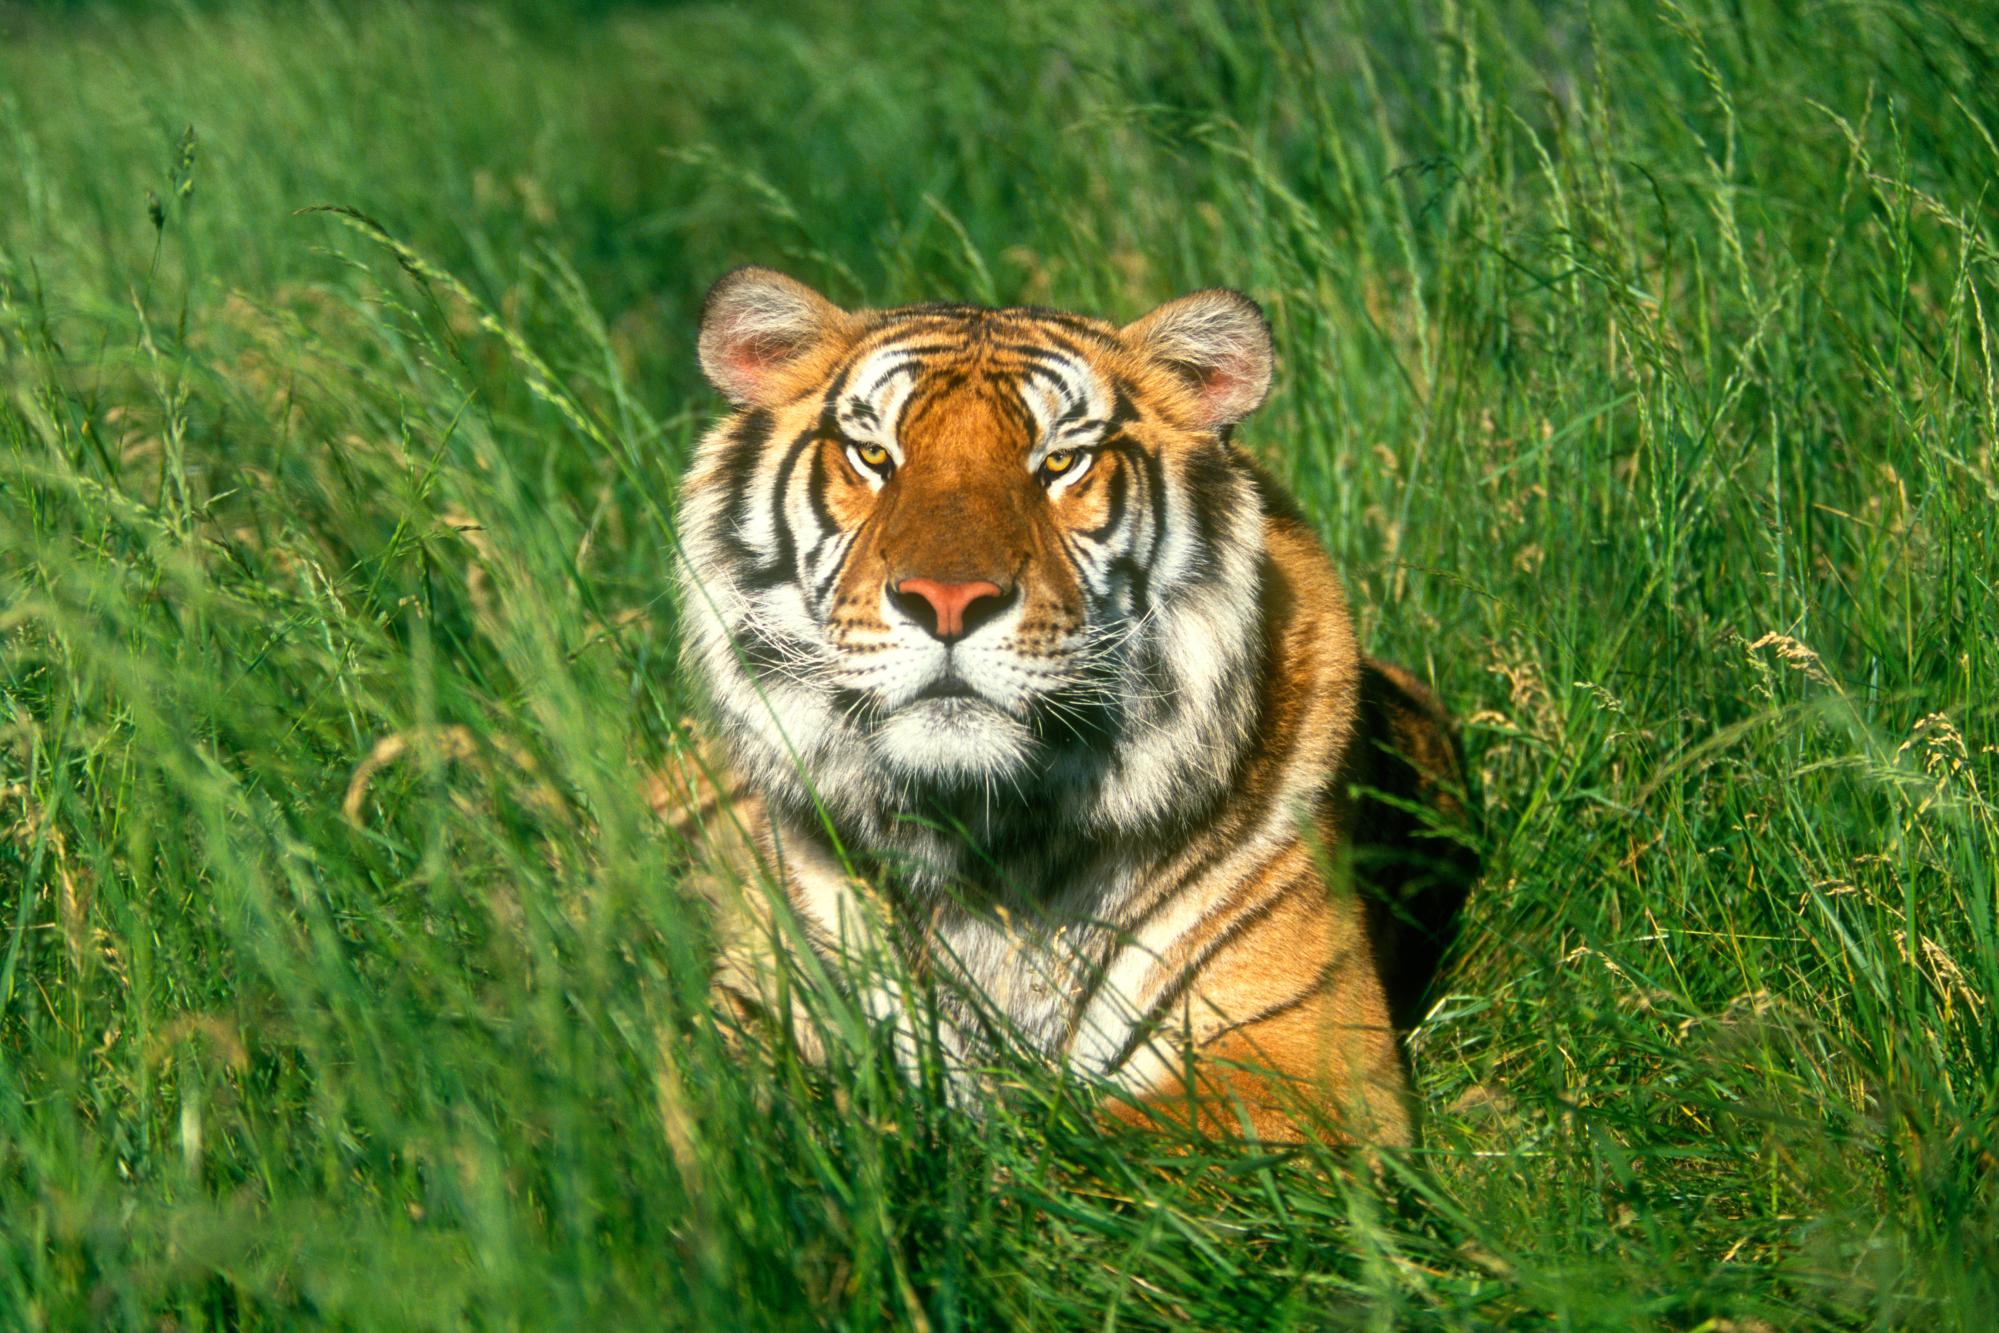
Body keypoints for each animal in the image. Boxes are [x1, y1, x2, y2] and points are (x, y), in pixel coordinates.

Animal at [663, 265, 1479, 1143]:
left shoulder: (1302, 1063)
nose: (947, 601)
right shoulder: (758, 1003)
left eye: (1060, 462)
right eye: (873, 454)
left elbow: (1080, 1149)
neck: (981, 839)